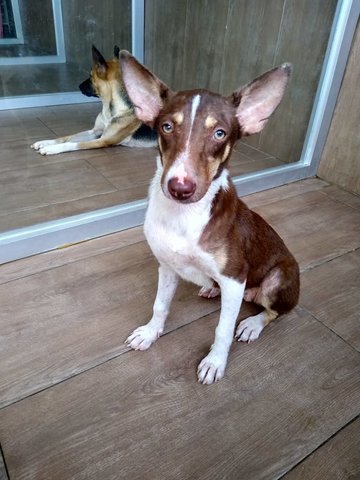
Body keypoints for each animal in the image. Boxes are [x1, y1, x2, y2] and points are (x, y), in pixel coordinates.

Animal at [121, 50, 300, 384]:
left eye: (219, 133)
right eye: (167, 127)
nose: (180, 188)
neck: (185, 217)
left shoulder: (234, 278)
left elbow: (223, 329)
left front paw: (215, 362)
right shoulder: (167, 266)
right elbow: (160, 305)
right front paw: (150, 333)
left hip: (276, 280)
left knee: (274, 312)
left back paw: (252, 324)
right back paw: (208, 287)